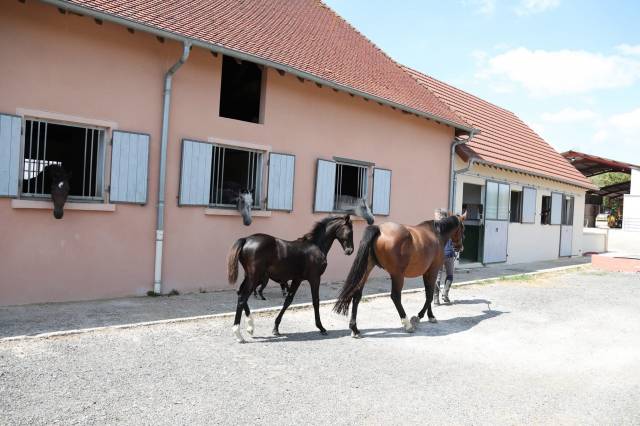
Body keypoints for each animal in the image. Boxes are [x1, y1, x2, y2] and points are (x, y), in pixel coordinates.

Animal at [227, 215, 357, 343]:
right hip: (255, 277)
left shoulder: (297, 279)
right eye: (350, 232)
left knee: (240, 294)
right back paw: (238, 334)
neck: (316, 246)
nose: (350, 251)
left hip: (251, 277)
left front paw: (276, 328)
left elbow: (288, 301)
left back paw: (250, 328)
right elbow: (315, 301)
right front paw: (321, 327)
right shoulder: (315, 278)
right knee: (242, 298)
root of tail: (246, 239)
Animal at [334, 212, 466, 337]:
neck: (436, 234)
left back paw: (354, 329)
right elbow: (429, 295)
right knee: (395, 296)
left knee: (357, 294)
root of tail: (379, 229)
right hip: (397, 275)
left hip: (367, 269)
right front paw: (419, 317)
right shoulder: (432, 271)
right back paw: (407, 324)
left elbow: (428, 293)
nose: (460, 247)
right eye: (463, 228)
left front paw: (430, 315)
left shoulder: (426, 273)